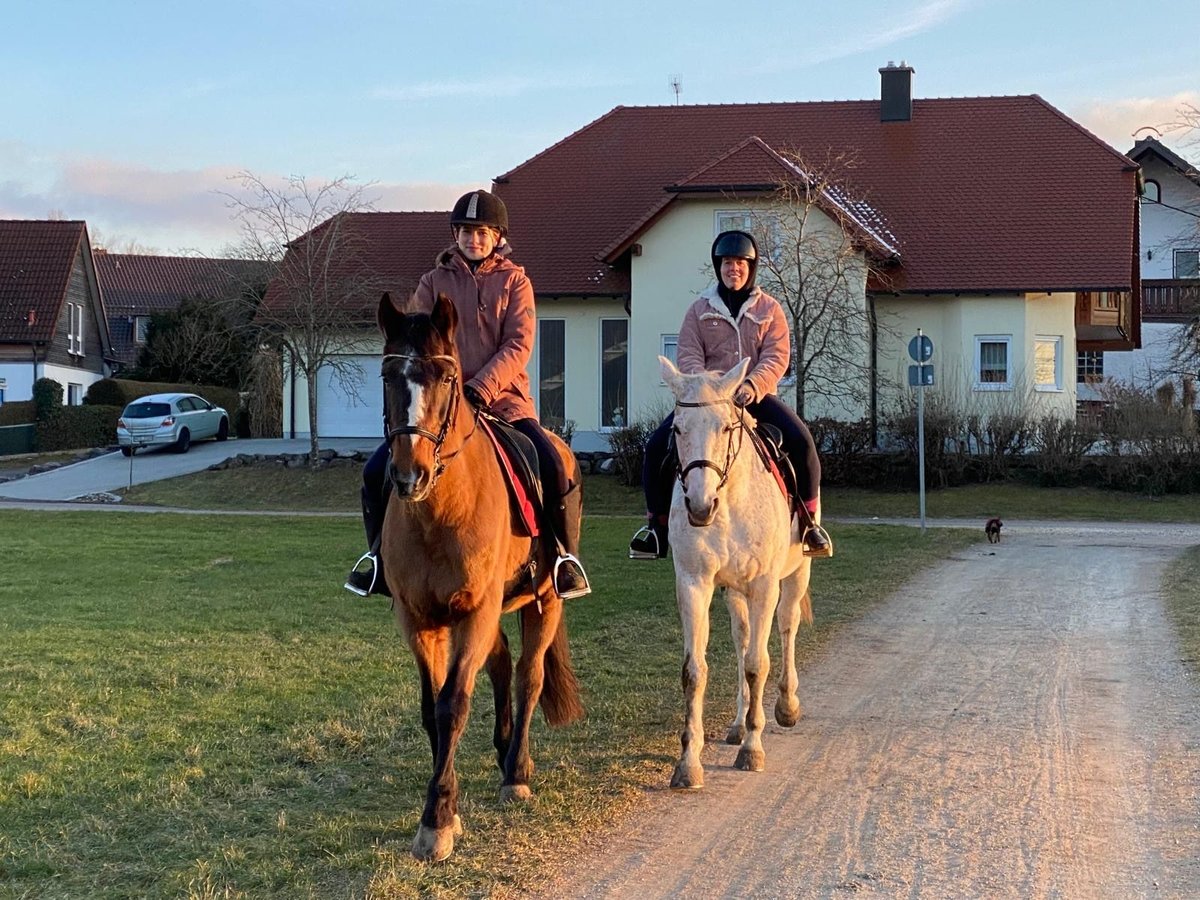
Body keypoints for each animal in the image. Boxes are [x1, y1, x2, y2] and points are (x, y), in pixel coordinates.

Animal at [372, 292, 583, 864]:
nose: (409, 475)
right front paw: (449, 806)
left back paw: (517, 771)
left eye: (447, 378)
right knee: (504, 664)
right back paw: (504, 750)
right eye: (387, 375)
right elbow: (431, 709)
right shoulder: (418, 620)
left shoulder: (474, 612)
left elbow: (453, 705)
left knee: (528, 676)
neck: (440, 512)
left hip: (544, 601)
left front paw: (437, 819)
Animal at [657, 355, 816, 792]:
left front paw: (753, 748)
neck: (728, 503)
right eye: (678, 429)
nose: (699, 505)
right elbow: (695, 671)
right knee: (742, 640)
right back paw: (738, 722)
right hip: (733, 591)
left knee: (787, 628)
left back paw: (786, 706)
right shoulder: (693, 584)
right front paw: (688, 763)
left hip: (796, 575)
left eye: (726, 427)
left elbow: (757, 664)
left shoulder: (764, 587)